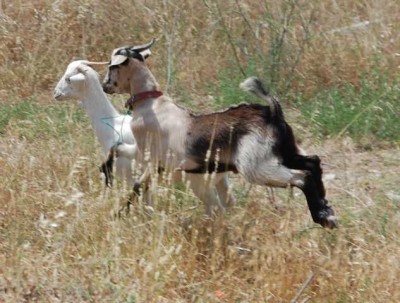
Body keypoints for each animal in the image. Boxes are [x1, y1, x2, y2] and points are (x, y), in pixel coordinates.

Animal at [102, 39, 338, 228]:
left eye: (112, 66)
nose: (105, 86)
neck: (152, 104)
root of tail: (272, 111)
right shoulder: (144, 154)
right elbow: (117, 148)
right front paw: (106, 174)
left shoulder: (152, 160)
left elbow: (137, 186)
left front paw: (116, 215)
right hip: (283, 151)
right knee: (312, 162)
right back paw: (326, 211)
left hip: (256, 166)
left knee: (302, 176)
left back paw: (321, 216)